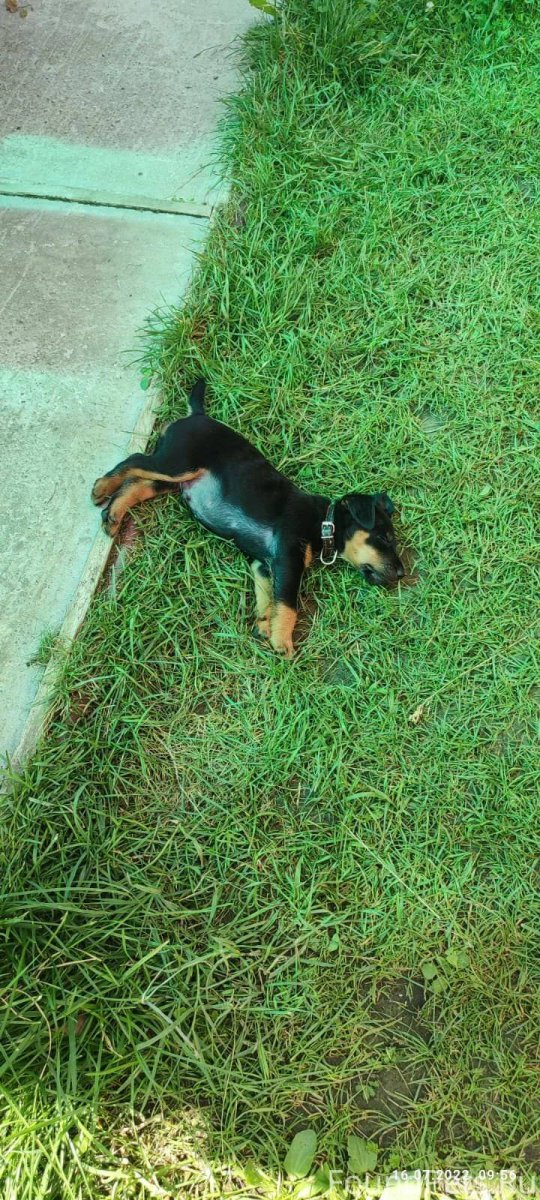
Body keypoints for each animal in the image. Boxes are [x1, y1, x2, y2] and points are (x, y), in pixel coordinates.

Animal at [92, 380, 405, 657]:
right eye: (385, 537)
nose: (402, 573)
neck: (324, 523)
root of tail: (197, 416)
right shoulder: (288, 557)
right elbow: (288, 604)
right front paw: (283, 642)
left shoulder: (263, 565)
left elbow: (268, 599)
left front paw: (265, 626)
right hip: (177, 463)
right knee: (133, 461)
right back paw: (101, 487)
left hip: (175, 480)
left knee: (137, 484)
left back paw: (112, 514)